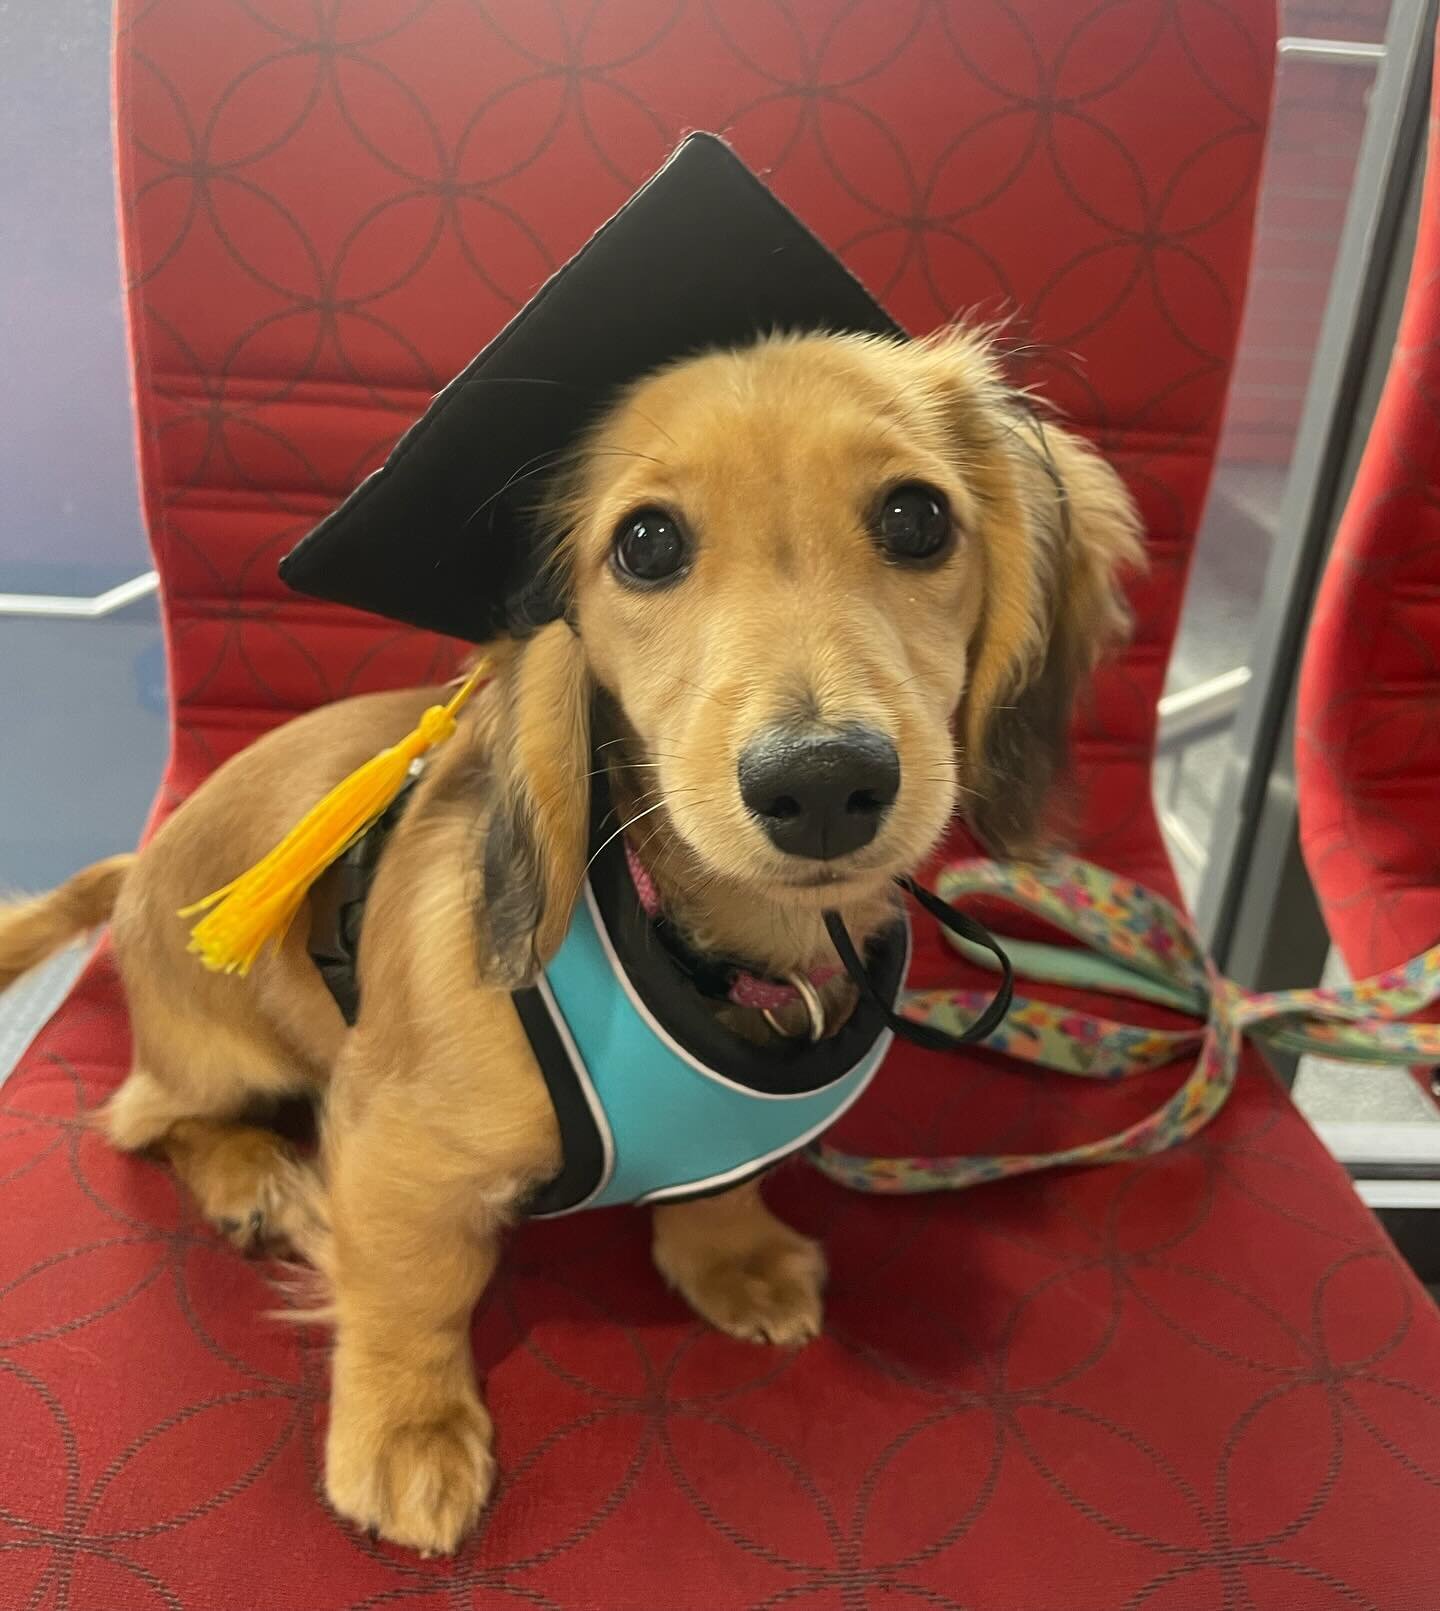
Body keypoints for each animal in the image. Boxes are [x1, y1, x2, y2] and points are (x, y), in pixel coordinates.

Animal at [5, 327, 1146, 1546]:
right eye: (646, 543)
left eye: (917, 518)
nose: (823, 784)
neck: (711, 946)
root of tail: (137, 873)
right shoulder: (393, 1143)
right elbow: (411, 1291)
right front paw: (405, 1429)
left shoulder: (721, 1132)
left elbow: (714, 1185)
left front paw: (731, 1258)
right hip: (218, 1054)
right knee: (149, 1122)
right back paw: (249, 1176)